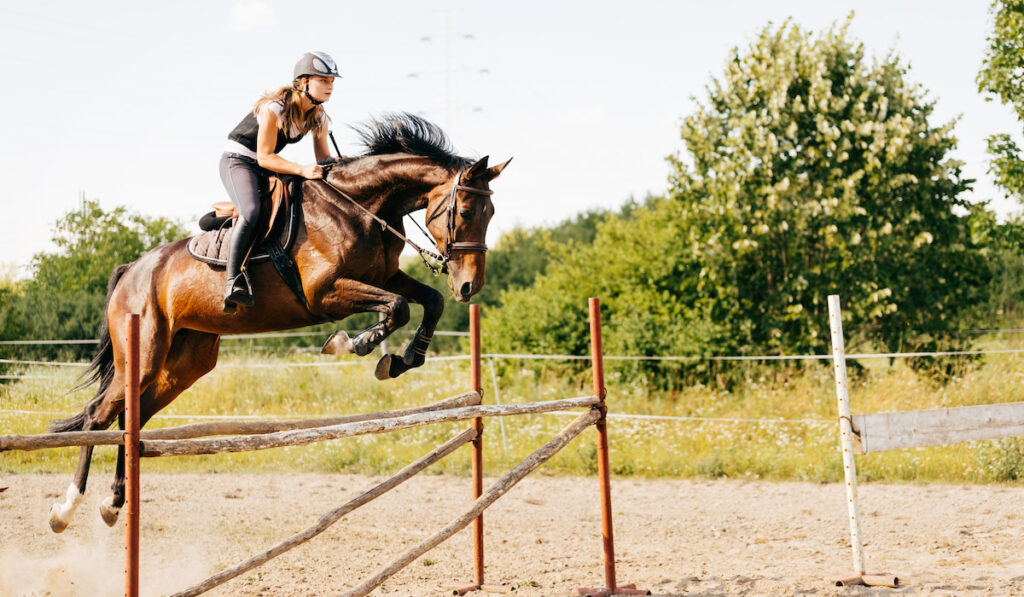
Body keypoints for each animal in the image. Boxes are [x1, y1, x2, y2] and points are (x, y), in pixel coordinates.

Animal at [48, 114, 512, 536]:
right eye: (466, 210)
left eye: (491, 212)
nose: (470, 286)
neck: (360, 207)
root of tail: (133, 270)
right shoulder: (324, 293)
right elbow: (397, 308)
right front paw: (358, 343)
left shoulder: (384, 277)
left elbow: (428, 301)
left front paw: (402, 359)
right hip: (143, 353)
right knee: (96, 415)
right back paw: (66, 509)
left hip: (184, 363)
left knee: (133, 417)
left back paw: (112, 503)